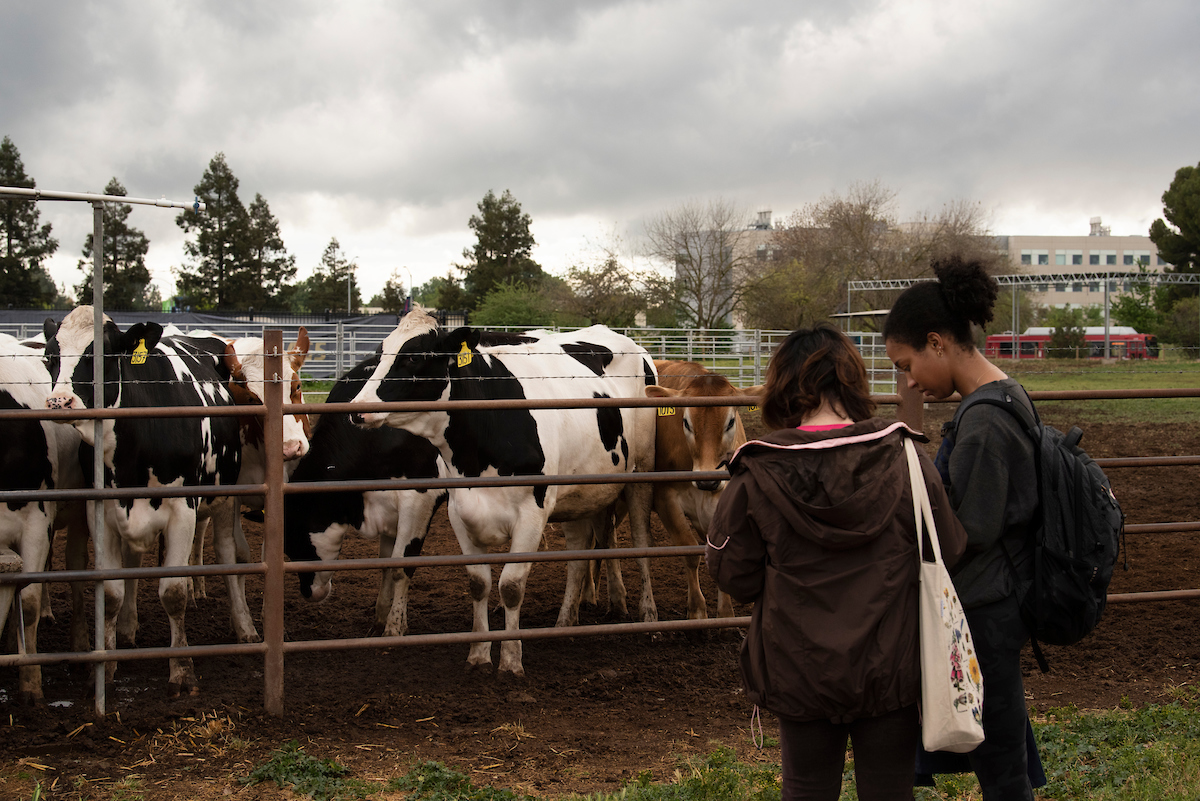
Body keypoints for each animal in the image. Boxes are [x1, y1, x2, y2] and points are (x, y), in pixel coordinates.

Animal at [43, 306, 242, 695]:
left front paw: (182, 671)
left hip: (225, 497)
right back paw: (127, 628)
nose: (59, 402)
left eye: (102, 354)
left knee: (228, 553)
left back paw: (245, 627)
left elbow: (173, 592)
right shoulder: (101, 511)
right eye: (51, 357)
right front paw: (105, 666)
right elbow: (112, 592)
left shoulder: (183, 510)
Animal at [283, 352, 448, 633]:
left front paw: (394, 627)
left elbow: (402, 566)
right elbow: (386, 563)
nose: (306, 593)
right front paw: (380, 619)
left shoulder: (420, 497)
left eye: (294, 542)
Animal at [348, 309, 657, 681]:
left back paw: (648, 616)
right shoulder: (460, 512)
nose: (357, 408)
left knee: (641, 542)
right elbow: (479, 583)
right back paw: (566, 622)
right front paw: (479, 654)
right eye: (380, 354)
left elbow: (510, 586)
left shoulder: (533, 512)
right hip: (578, 493)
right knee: (578, 553)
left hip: (641, 472)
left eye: (414, 357)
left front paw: (511, 661)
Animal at [643, 359, 744, 623]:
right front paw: (697, 610)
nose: (707, 481)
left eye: (731, 422)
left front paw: (726, 614)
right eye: (686, 422)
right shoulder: (665, 499)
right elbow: (689, 551)